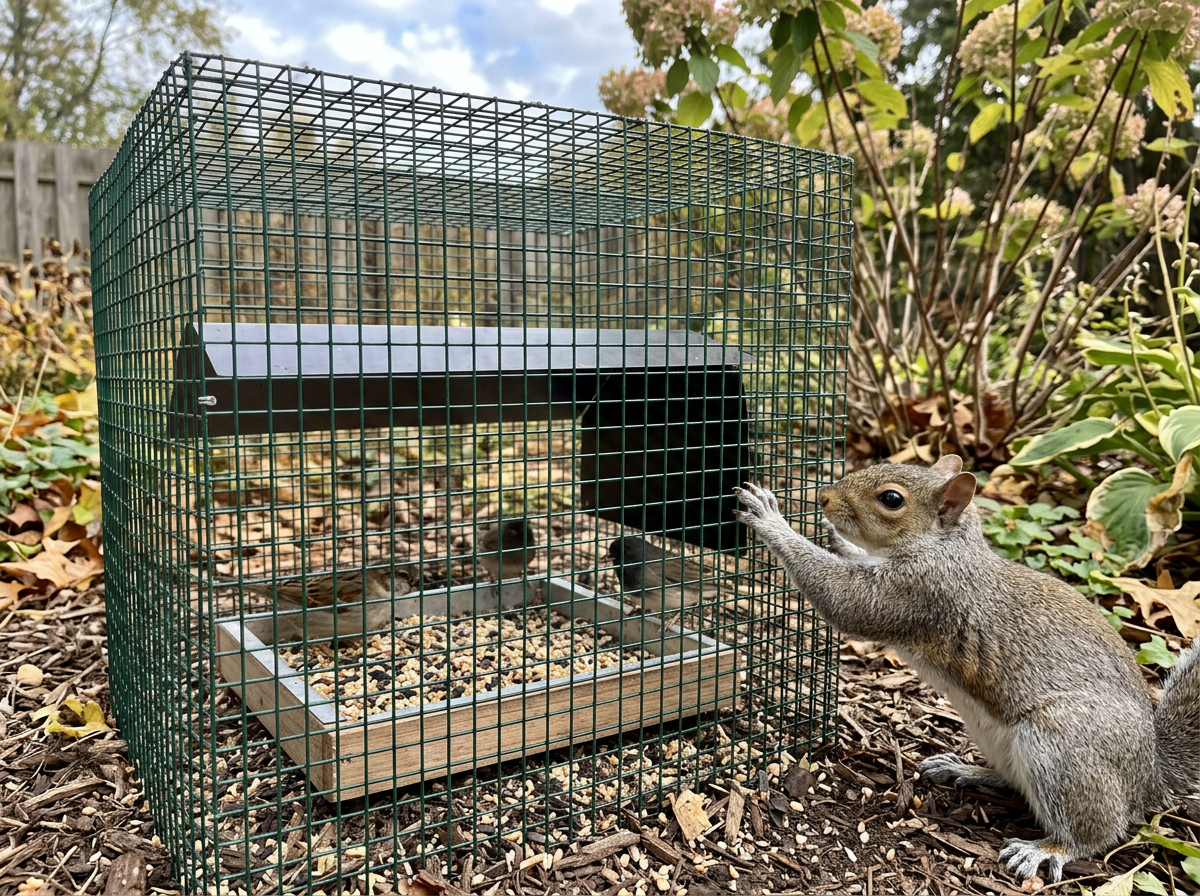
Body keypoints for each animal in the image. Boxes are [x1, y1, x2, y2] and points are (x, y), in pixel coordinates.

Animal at [732, 455, 1200, 883]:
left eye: (891, 499)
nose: (824, 499)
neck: (946, 547)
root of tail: (1150, 775)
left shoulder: (920, 592)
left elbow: (844, 599)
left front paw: (770, 519)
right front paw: (832, 536)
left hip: (1062, 746)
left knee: (1096, 832)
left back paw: (1047, 849)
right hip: (995, 736)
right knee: (1014, 782)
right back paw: (965, 770)